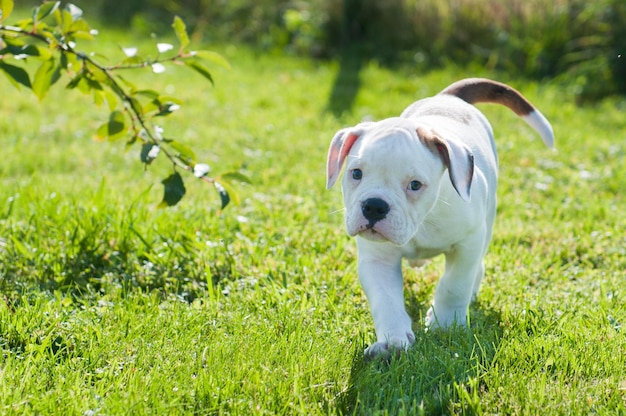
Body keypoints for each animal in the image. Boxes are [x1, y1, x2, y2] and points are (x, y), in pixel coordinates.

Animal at [326, 78, 552, 358]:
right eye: (356, 173)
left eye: (415, 185)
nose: (374, 207)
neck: (422, 222)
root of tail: (448, 97)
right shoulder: (377, 259)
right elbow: (386, 300)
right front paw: (392, 341)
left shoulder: (468, 244)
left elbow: (454, 285)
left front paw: (445, 324)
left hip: (487, 222)